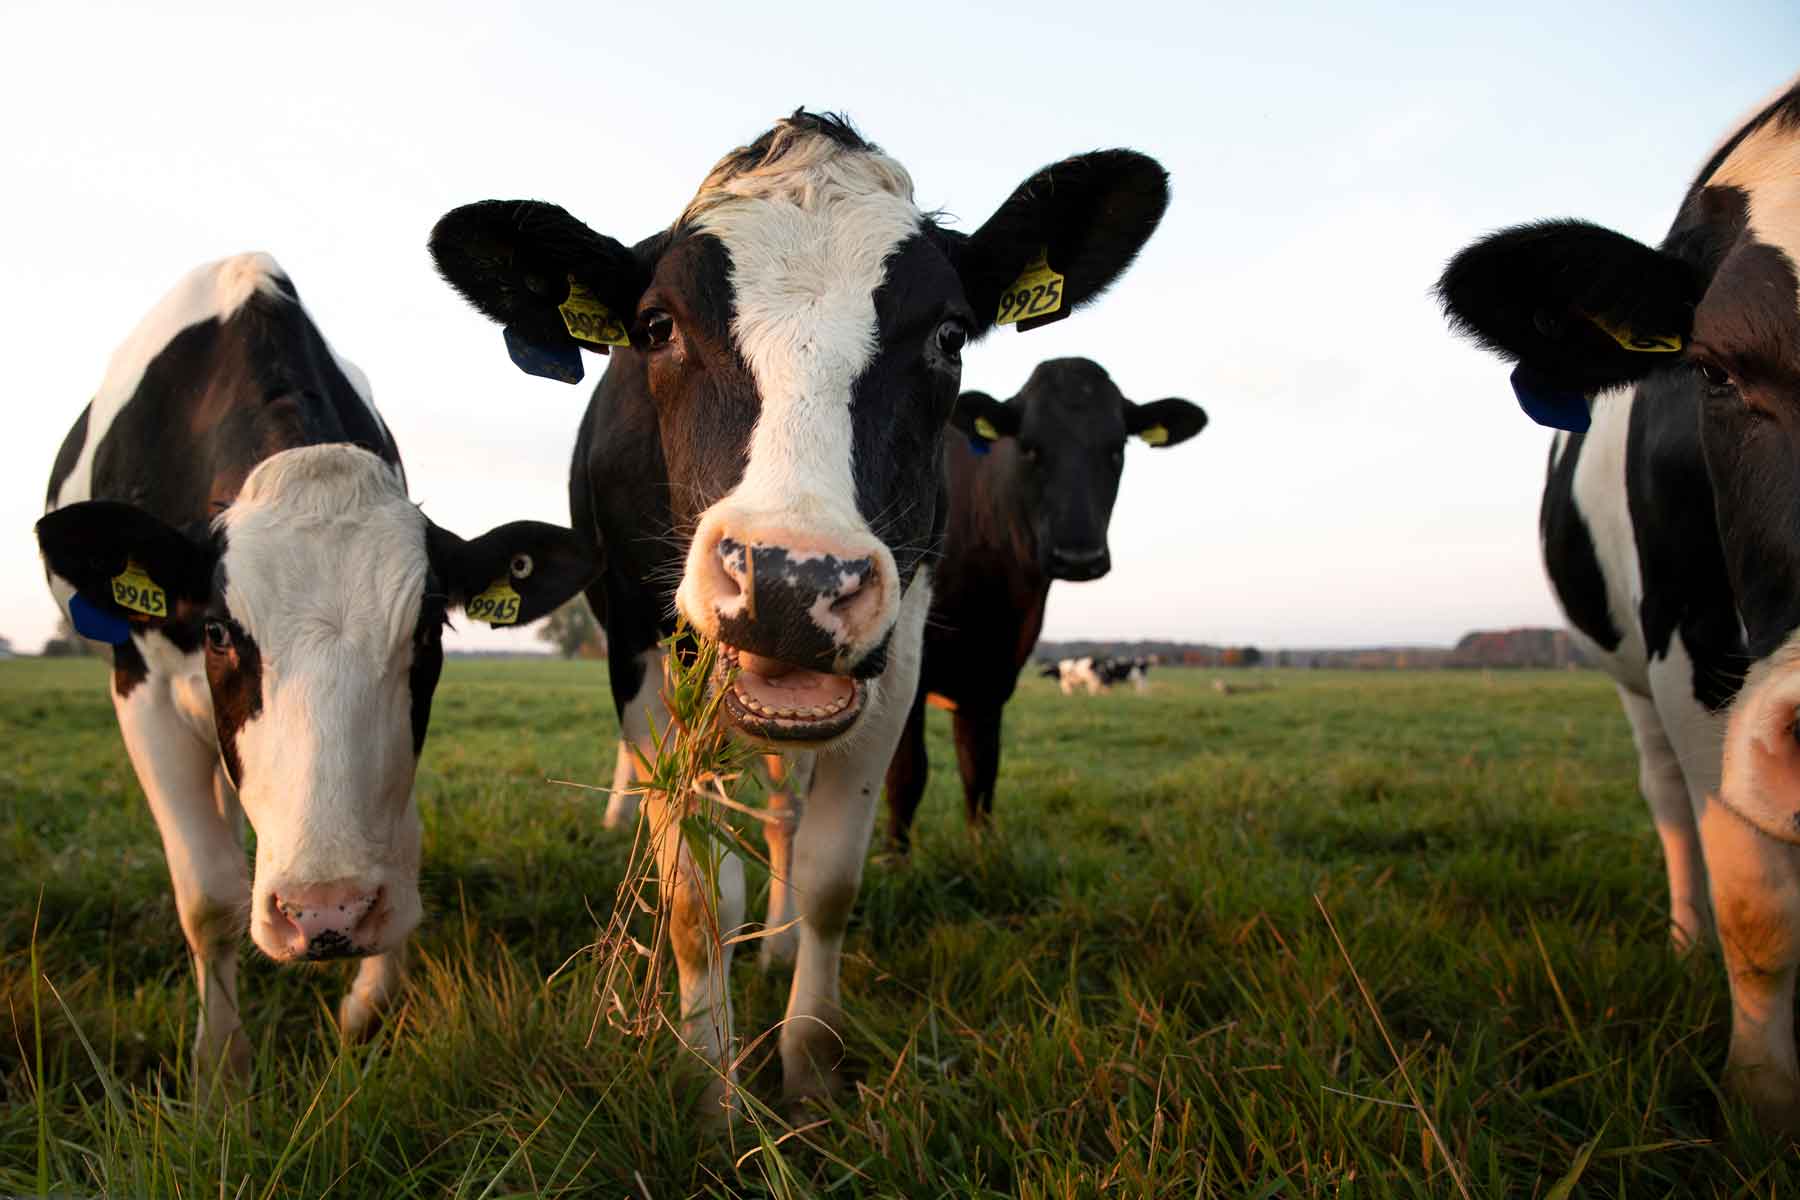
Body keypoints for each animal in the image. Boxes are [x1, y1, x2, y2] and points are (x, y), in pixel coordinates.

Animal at [35, 253, 597, 1091]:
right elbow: (207, 895)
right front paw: (220, 1072)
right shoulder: (142, 688)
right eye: (218, 631)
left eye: (427, 630)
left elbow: (403, 839)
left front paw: (368, 1005)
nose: (325, 916)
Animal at [427, 111, 1170, 1111]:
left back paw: (775, 948)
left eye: (949, 335)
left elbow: (827, 877)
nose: (791, 578)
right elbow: (697, 890)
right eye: (657, 327)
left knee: (783, 812)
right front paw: (711, 1085)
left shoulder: (898, 656)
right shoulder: (635, 649)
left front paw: (810, 1073)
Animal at [883, 359, 1204, 848]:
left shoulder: (991, 680)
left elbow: (980, 775)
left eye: (1116, 449)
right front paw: (894, 861)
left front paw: (982, 856)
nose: (1078, 556)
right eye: (1030, 448)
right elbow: (906, 778)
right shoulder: (905, 676)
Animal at [1436, 79, 1800, 1131]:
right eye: (1715, 369)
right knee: (1672, 805)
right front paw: (1764, 1111)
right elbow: (1759, 907)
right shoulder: (1691, 654)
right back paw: (1686, 944)